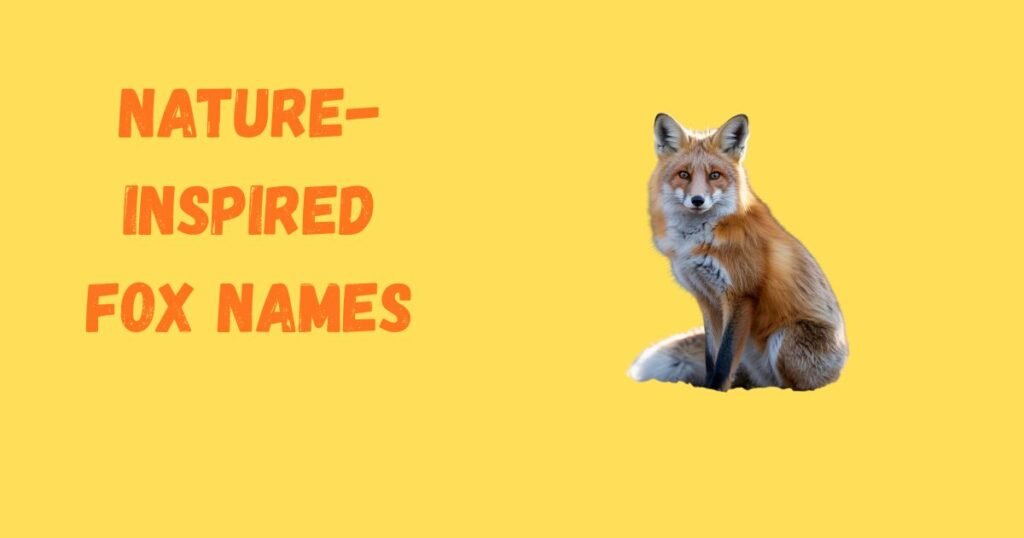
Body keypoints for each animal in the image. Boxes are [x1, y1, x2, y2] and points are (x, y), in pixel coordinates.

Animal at [627, 113, 848, 391]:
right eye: (683, 174)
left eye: (715, 175)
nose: (697, 200)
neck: (699, 239)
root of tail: (840, 369)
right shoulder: (707, 299)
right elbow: (712, 358)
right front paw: (709, 388)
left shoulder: (741, 295)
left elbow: (724, 361)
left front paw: (716, 390)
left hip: (784, 338)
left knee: (792, 385)